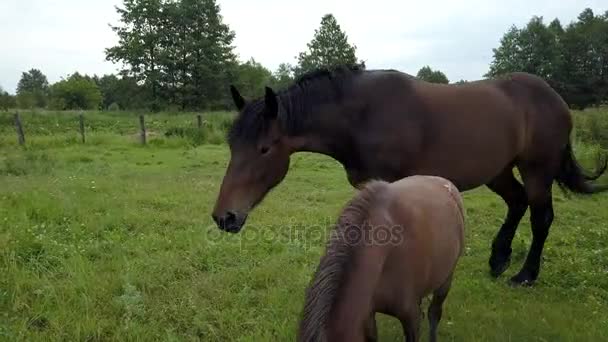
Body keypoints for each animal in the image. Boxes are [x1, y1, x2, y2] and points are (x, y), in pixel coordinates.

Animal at [211, 65, 604, 286]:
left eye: (264, 149)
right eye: (231, 144)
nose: (224, 217)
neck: (362, 116)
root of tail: (554, 97)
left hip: (537, 168)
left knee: (541, 217)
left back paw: (525, 275)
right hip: (498, 170)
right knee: (517, 202)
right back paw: (498, 260)